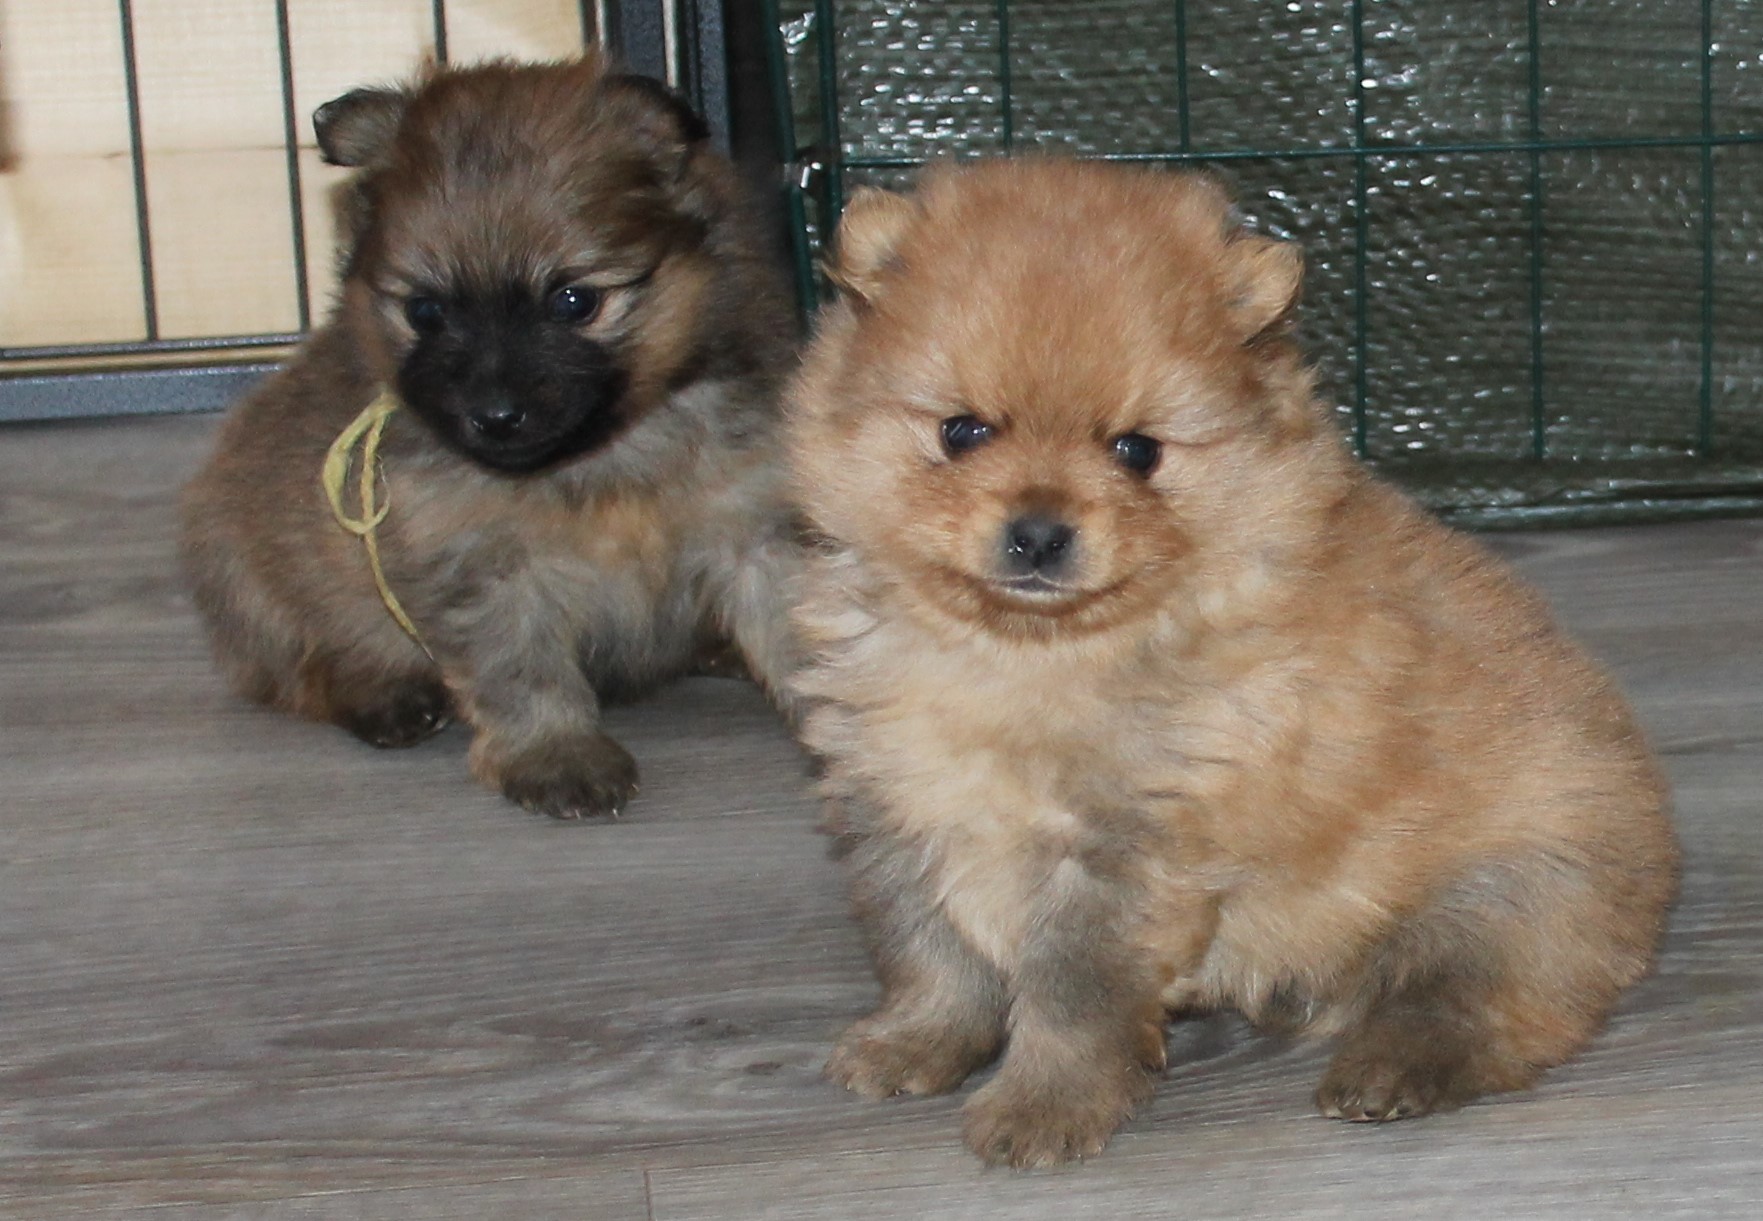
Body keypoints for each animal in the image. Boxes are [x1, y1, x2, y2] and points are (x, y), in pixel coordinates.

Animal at [175, 57, 796, 817]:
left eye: (572, 301)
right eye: (426, 311)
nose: (493, 415)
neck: (602, 457)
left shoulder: (756, 529)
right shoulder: (482, 568)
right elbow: (521, 669)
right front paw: (556, 755)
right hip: (248, 575)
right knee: (302, 666)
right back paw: (384, 697)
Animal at [789, 156, 1678, 1169]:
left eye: (1136, 450)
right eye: (962, 432)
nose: (1040, 532)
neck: (1022, 658)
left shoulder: (1125, 851)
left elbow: (1071, 995)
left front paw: (1042, 1109)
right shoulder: (896, 801)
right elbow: (929, 952)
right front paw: (911, 1043)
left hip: (1510, 889)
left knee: (1482, 1005)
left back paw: (1385, 1071)